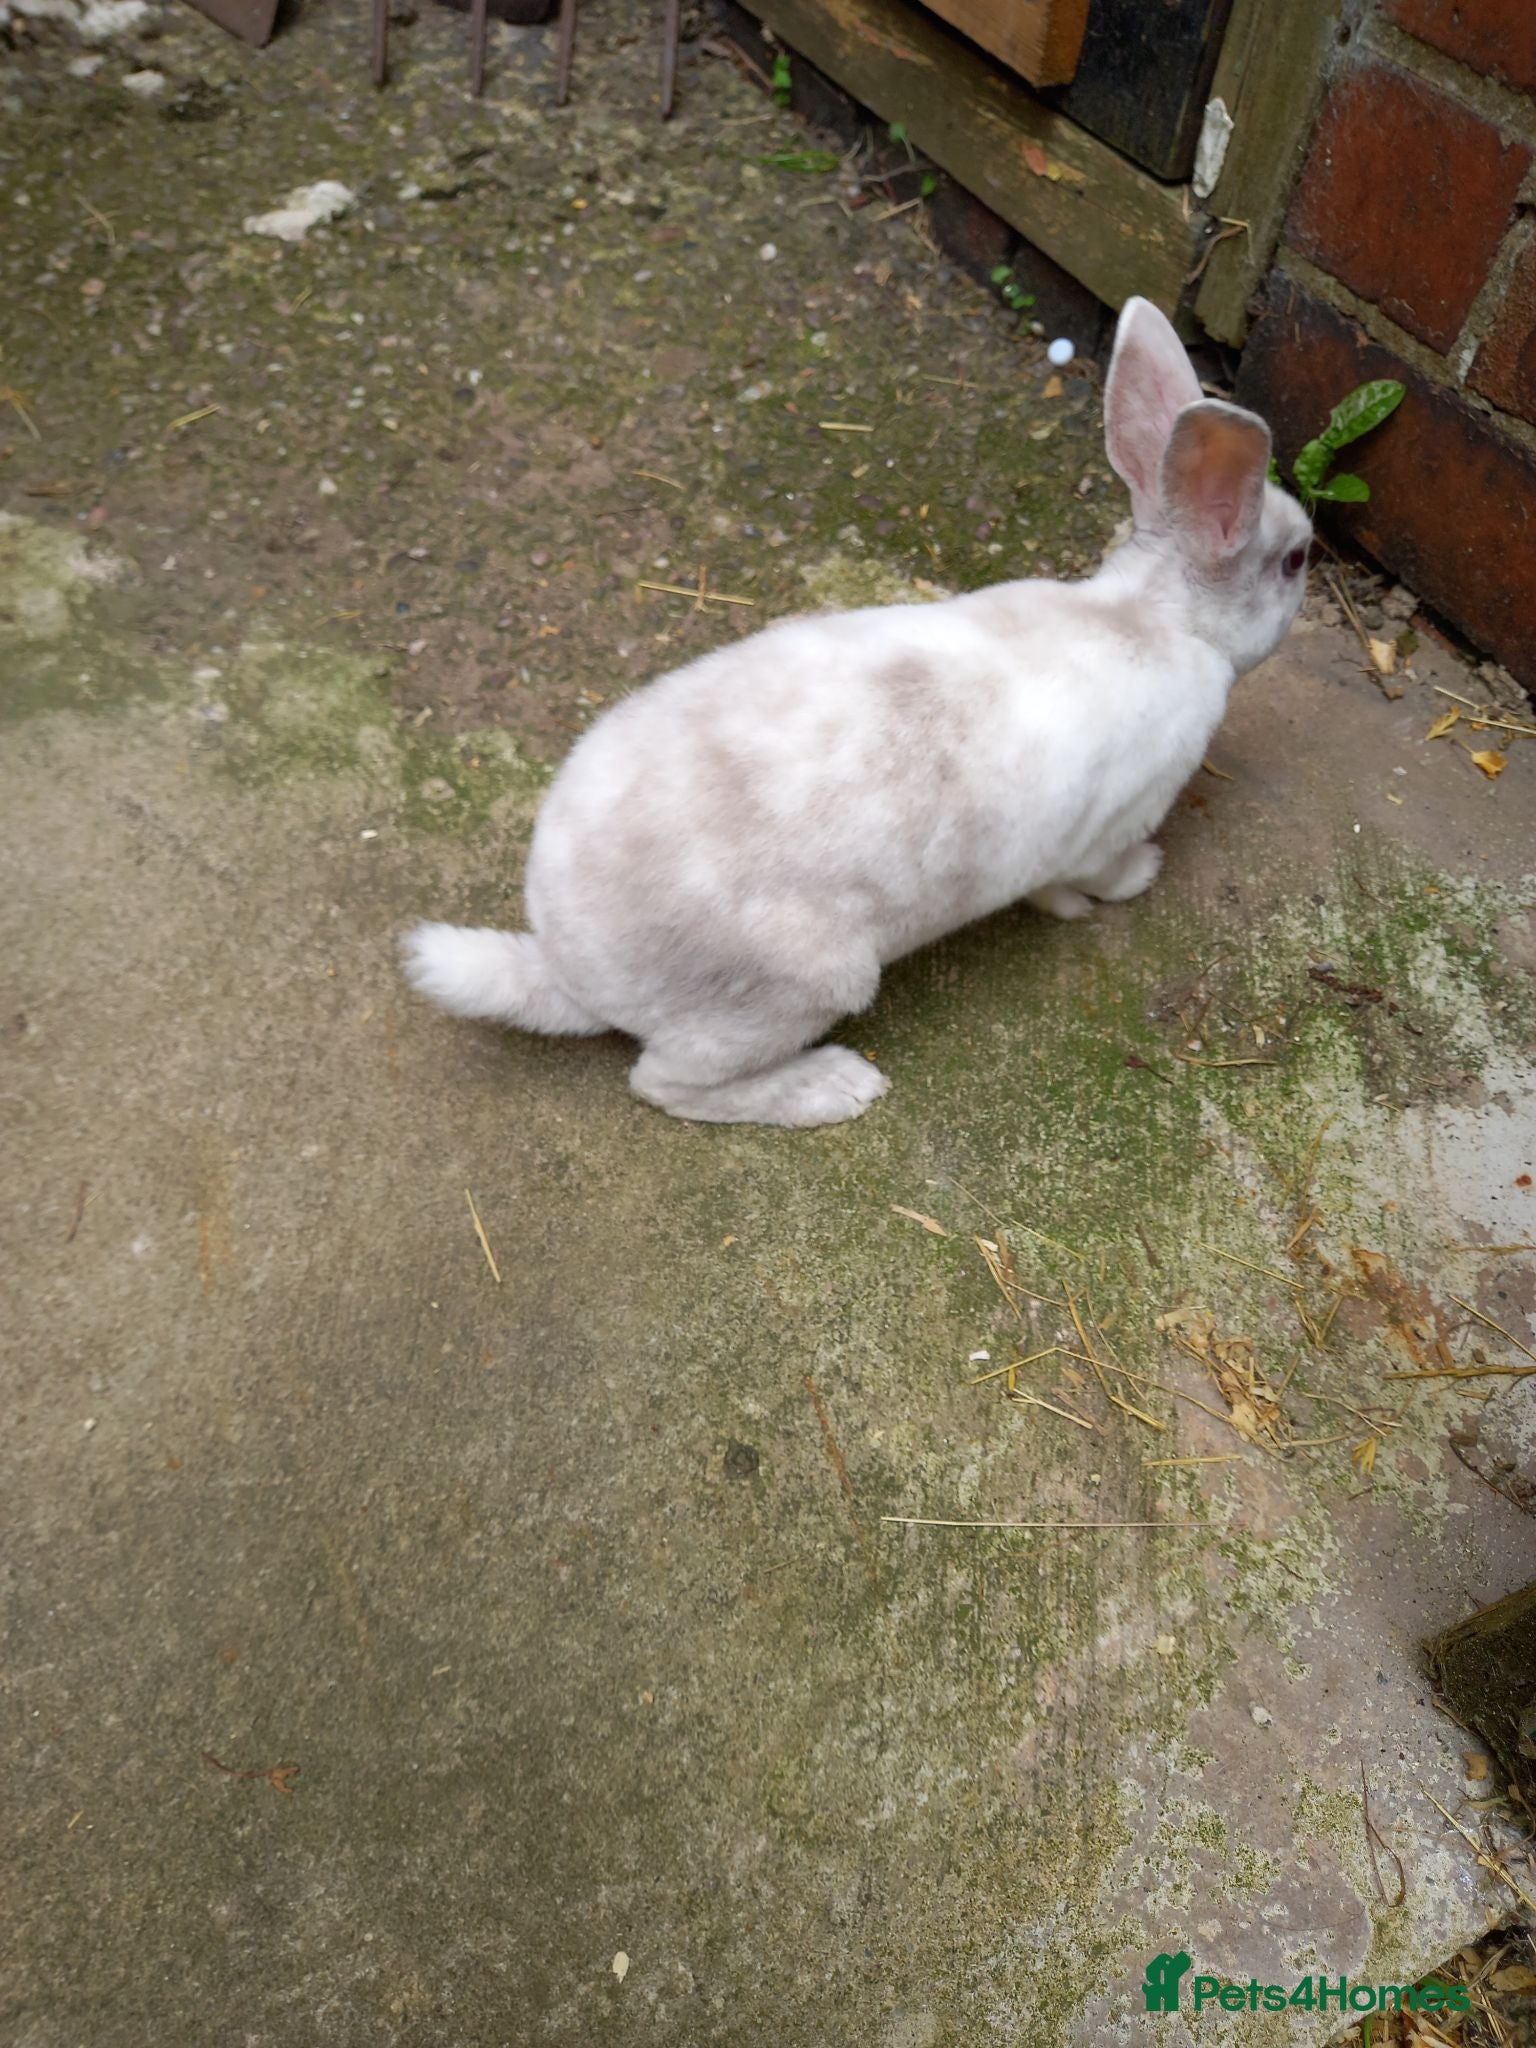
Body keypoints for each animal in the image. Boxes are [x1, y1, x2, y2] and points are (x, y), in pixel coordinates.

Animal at [403, 296, 1311, 1128]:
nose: (1312, 562)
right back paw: (833, 1087)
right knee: (666, 1085)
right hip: (801, 985)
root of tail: (570, 970)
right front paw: (1133, 882)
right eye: (1297, 562)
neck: (1159, 616)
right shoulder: (1103, 828)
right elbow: (1086, 879)